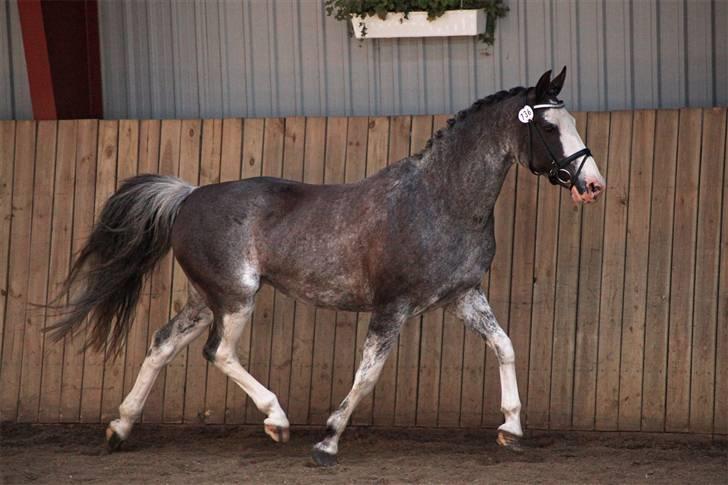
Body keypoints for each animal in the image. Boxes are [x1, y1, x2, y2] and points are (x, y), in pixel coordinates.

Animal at [49, 68, 604, 466]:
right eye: (549, 126)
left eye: (571, 123)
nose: (592, 184)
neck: (440, 201)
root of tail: (187, 196)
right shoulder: (392, 307)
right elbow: (367, 375)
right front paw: (327, 443)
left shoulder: (462, 297)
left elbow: (505, 346)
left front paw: (511, 429)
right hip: (235, 297)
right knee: (218, 352)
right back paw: (276, 420)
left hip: (207, 298)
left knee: (163, 343)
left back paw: (120, 429)